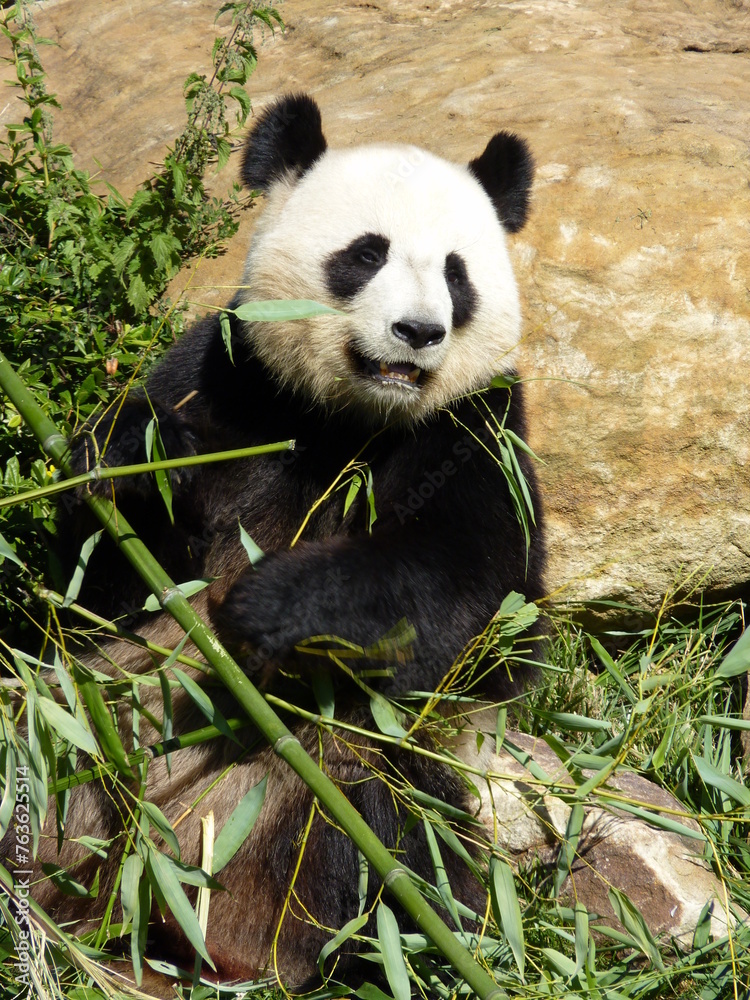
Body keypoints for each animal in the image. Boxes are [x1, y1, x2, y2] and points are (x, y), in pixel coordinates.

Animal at [32, 94, 546, 990]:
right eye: (366, 255)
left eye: (458, 274)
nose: (419, 332)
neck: (351, 419)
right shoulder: (227, 380)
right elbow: (101, 583)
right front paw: (134, 459)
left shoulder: (479, 433)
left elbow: (465, 597)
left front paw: (271, 608)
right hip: (81, 756)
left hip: (332, 794)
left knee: (398, 846)